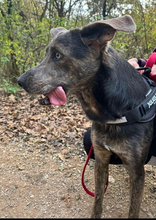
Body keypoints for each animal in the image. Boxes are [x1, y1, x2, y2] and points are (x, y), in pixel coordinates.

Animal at [17, 15, 155, 218]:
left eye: (58, 55)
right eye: (47, 53)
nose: (20, 81)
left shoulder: (137, 171)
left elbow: (133, 210)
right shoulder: (101, 158)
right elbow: (97, 201)